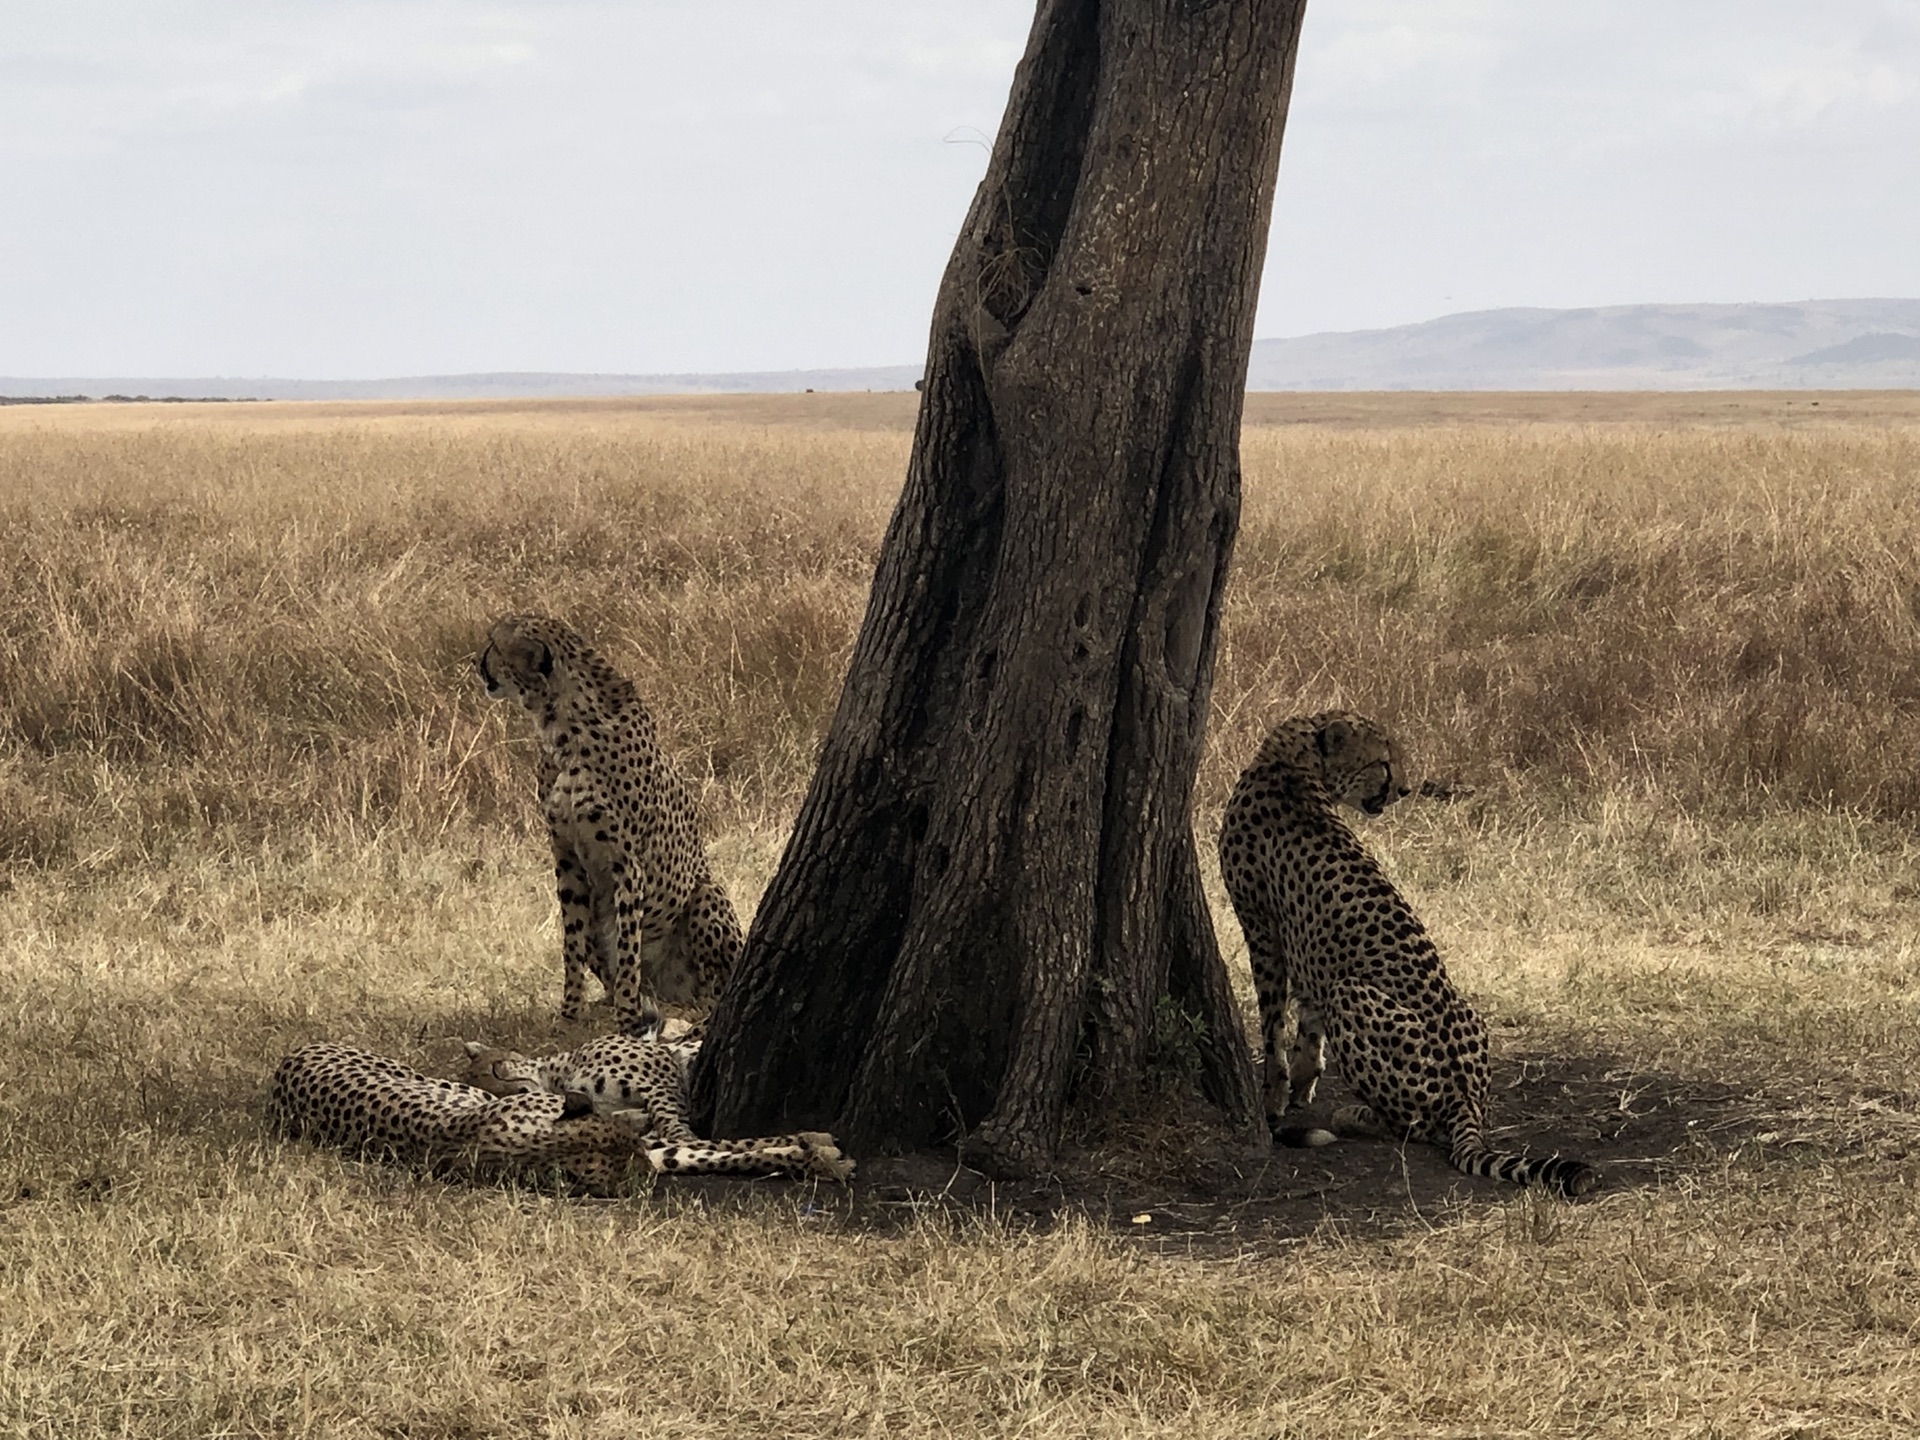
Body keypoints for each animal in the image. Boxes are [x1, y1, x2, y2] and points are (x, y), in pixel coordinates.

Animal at [460, 1036, 852, 1182]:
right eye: (487, 1092)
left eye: (494, 1070)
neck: (560, 1075)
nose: (508, 1093)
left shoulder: (662, 1080)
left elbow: (675, 1127)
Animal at [478, 614, 741, 1029]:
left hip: (706, 893)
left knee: (712, 982)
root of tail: (670, 992)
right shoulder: (566, 857)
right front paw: (571, 1010)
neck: (563, 726)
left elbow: (627, 942)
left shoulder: (626, 863)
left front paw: (627, 1014)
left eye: (496, 646)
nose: (478, 665)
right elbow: (572, 940)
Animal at [1213, 718, 1605, 1198]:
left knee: (1413, 1125)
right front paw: (1303, 1081)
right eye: (1383, 762)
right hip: (1467, 1012)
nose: (1402, 790)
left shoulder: (1262, 928)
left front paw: (1273, 1098)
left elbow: (1273, 1028)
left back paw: (1354, 1115)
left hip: (1352, 994)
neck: (1296, 759)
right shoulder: (1303, 945)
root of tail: (1466, 1098)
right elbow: (1307, 1019)